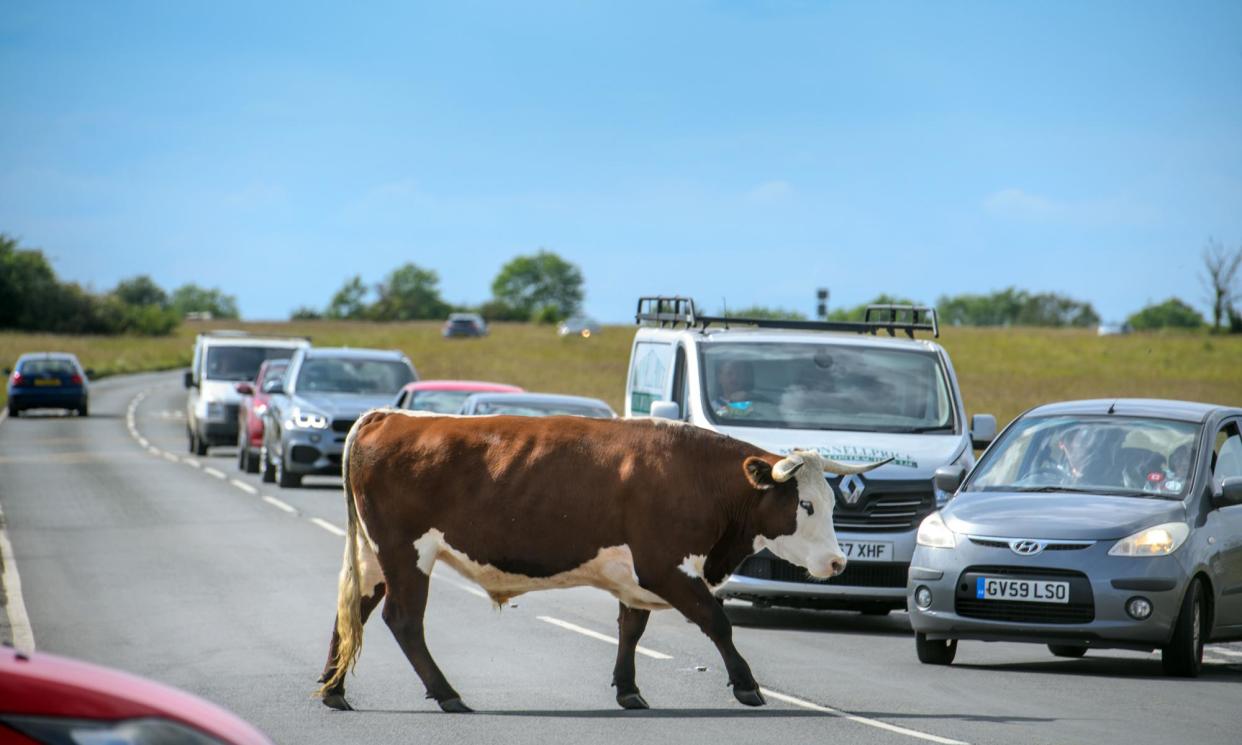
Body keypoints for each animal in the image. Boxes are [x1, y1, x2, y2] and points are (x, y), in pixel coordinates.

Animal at [315, 409, 889, 715]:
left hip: (374, 556)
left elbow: (630, 628)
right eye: (805, 505)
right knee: (403, 620)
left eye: (831, 502)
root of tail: (390, 416)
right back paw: (447, 694)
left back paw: (333, 690)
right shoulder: (666, 567)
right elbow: (717, 622)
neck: (695, 476)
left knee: (353, 613)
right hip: (405, 553)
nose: (836, 563)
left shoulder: (639, 578)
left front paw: (629, 689)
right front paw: (746, 685)